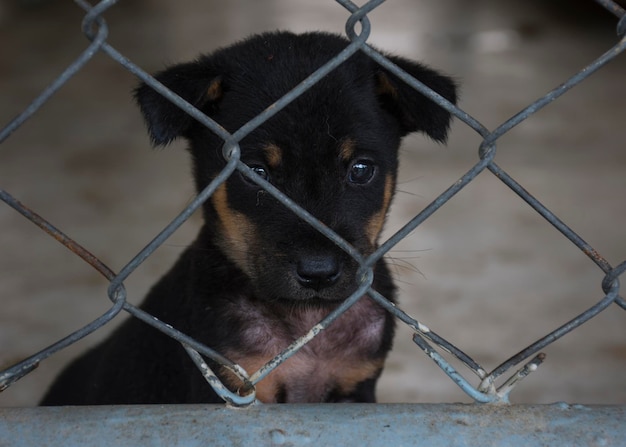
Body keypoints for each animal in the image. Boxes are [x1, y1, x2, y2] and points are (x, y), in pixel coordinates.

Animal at [41, 31, 456, 406]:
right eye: (255, 172)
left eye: (361, 169)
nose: (318, 273)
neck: (307, 321)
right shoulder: (231, 388)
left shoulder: (356, 386)